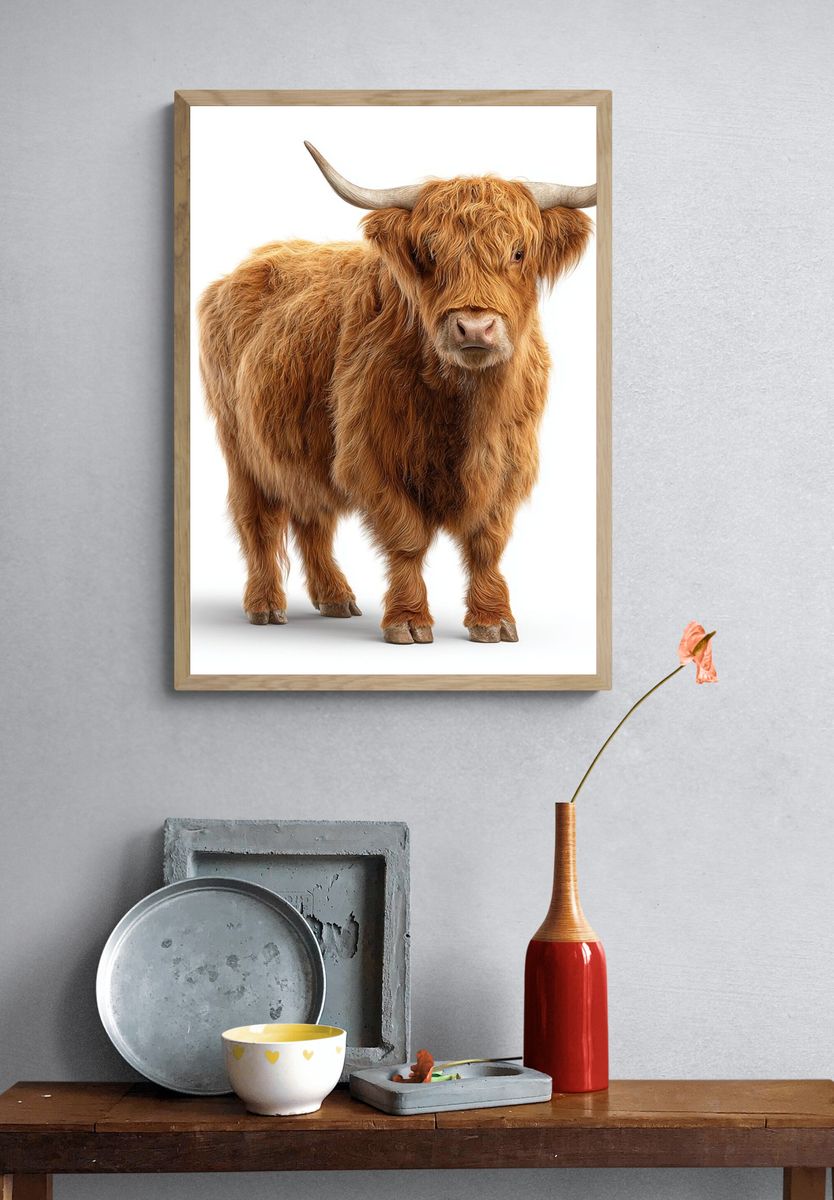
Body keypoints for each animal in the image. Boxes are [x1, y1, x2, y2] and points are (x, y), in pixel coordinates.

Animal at [197, 143, 595, 644]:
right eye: (430, 252)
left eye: (519, 252)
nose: (475, 328)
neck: (466, 405)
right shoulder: (372, 456)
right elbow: (406, 538)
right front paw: (407, 621)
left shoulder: (509, 461)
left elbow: (487, 541)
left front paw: (493, 619)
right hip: (239, 445)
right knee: (259, 522)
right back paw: (265, 605)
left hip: (304, 448)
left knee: (313, 518)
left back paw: (335, 597)